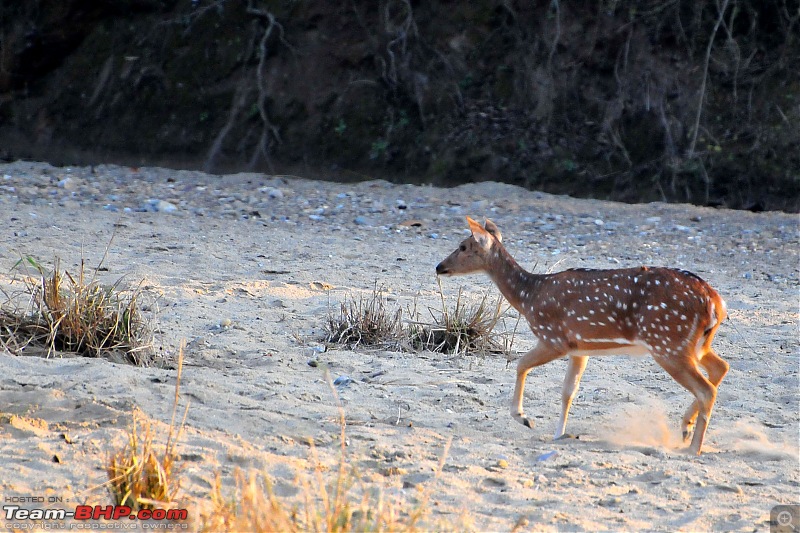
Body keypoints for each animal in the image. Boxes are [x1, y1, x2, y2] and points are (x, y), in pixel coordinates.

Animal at [434, 216, 728, 454]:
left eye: (463, 246)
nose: (439, 266)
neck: (529, 296)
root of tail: (715, 302)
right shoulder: (580, 349)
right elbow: (568, 391)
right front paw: (560, 434)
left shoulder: (555, 339)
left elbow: (520, 364)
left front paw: (524, 417)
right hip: (694, 344)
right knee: (720, 368)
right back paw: (685, 428)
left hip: (668, 342)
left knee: (706, 389)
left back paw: (692, 448)